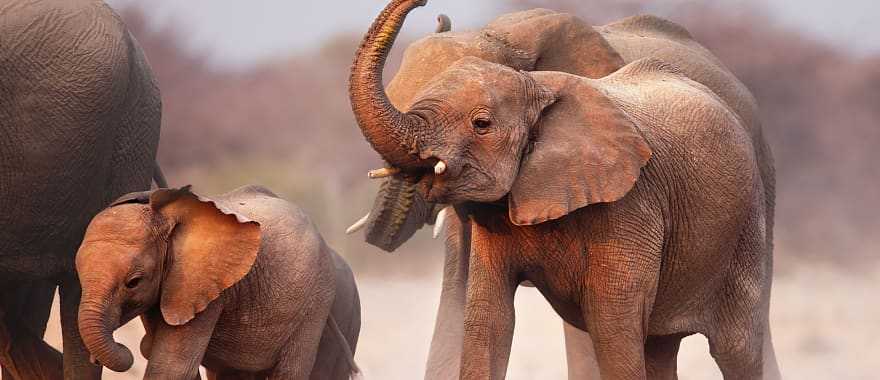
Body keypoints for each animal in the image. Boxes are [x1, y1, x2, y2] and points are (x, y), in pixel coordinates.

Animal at [344, 1, 776, 378]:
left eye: (481, 124)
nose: (426, 5)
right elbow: (479, 311)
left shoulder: (630, 199)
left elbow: (608, 322)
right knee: (659, 344)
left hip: (753, 194)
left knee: (736, 345)